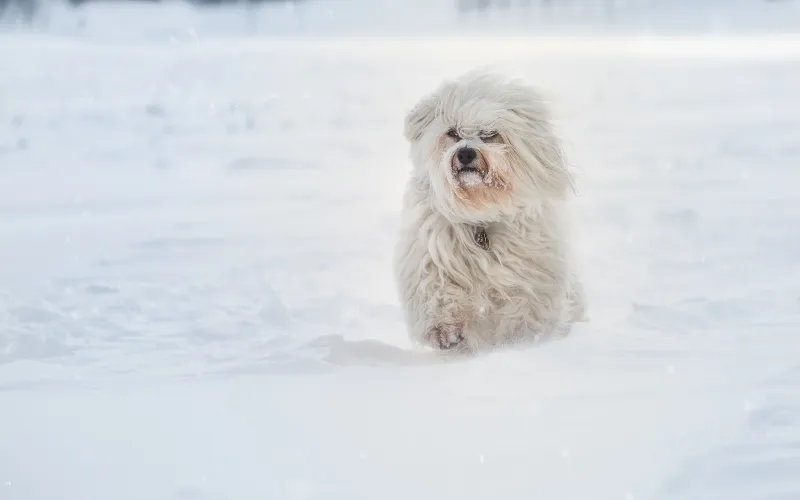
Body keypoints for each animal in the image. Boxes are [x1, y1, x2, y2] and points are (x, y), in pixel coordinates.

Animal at [394, 69, 588, 352]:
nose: (465, 153)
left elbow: (525, 307)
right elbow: (436, 290)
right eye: (452, 132)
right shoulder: (432, 252)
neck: (481, 215)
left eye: (490, 134)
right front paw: (445, 331)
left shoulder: (531, 272)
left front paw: (516, 343)